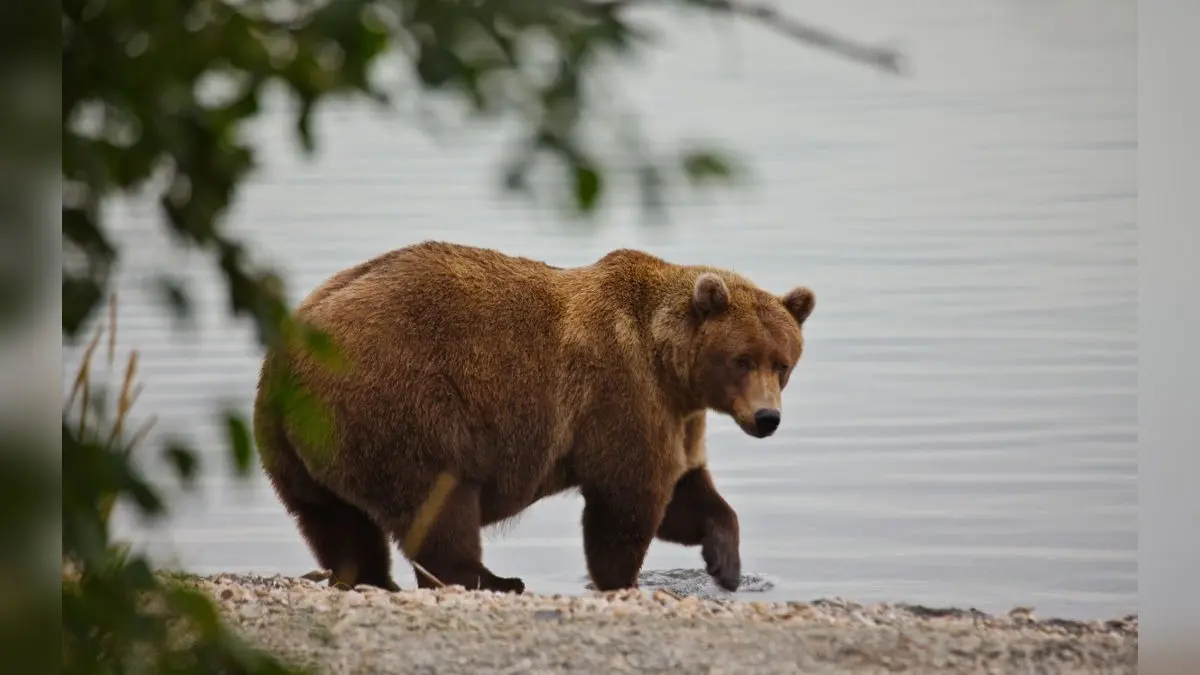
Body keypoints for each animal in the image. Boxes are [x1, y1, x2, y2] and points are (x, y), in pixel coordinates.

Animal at [253, 240, 815, 594]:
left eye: (782, 363)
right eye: (742, 359)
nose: (767, 417)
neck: (669, 364)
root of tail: (289, 353)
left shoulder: (678, 417)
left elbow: (687, 493)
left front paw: (726, 564)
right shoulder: (623, 394)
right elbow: (629, 500)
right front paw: (621, 578)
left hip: (298, 445)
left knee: (332, 518)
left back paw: (370, 577)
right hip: (401, 405)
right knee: (438, 502)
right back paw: (493, 579)